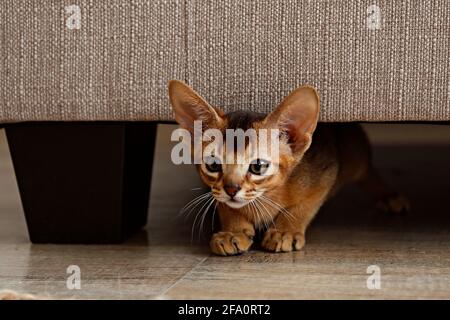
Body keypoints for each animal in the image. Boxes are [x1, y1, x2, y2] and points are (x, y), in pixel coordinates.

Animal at [168, 81, 408, 256]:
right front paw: (232, 231)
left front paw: (285, 231)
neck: (265, 198)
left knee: (367, 170)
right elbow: (226, 205)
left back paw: (388, 195)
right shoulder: (216, 192)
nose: (231, 189)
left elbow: (303, 208)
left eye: (258, 167)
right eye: (213, 164)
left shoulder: (324, 172)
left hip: (354, 155)